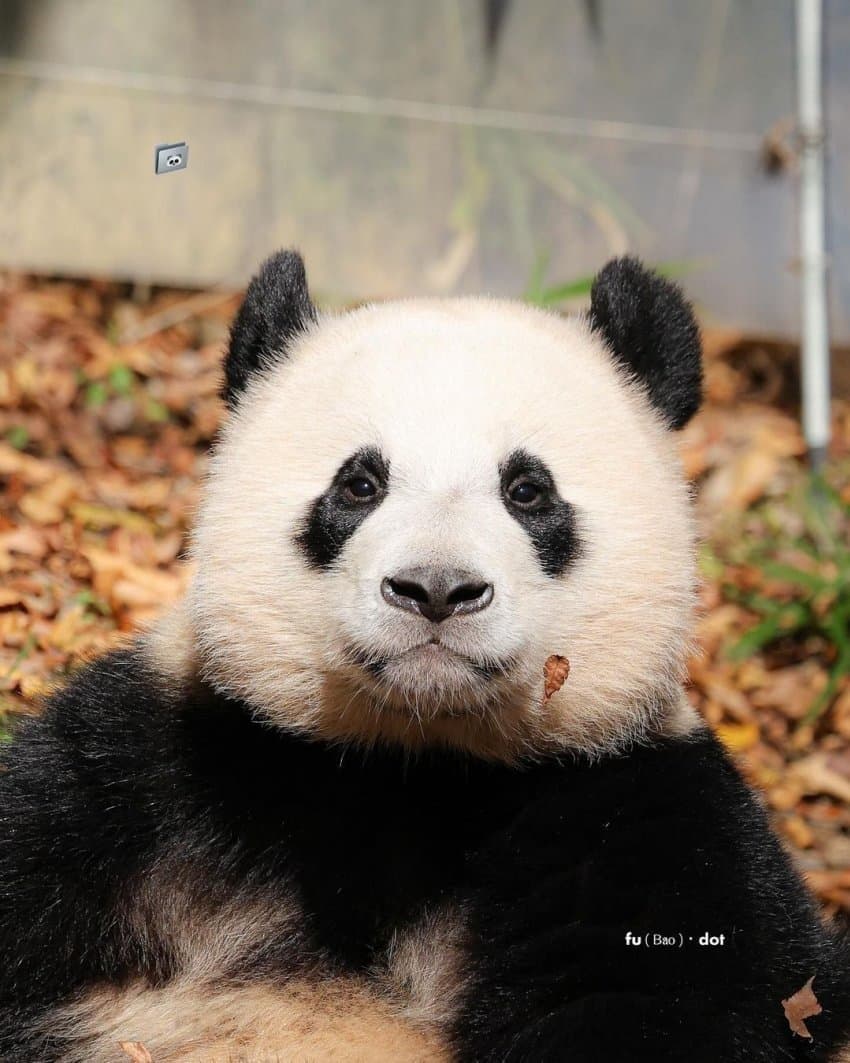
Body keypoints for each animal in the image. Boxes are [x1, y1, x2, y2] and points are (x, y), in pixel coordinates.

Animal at [1, 250, 850, 1063]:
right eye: (359, 483)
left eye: (528, 490)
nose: (436, 589)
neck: (415, 762)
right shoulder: (157, 767)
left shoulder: (642, 817)